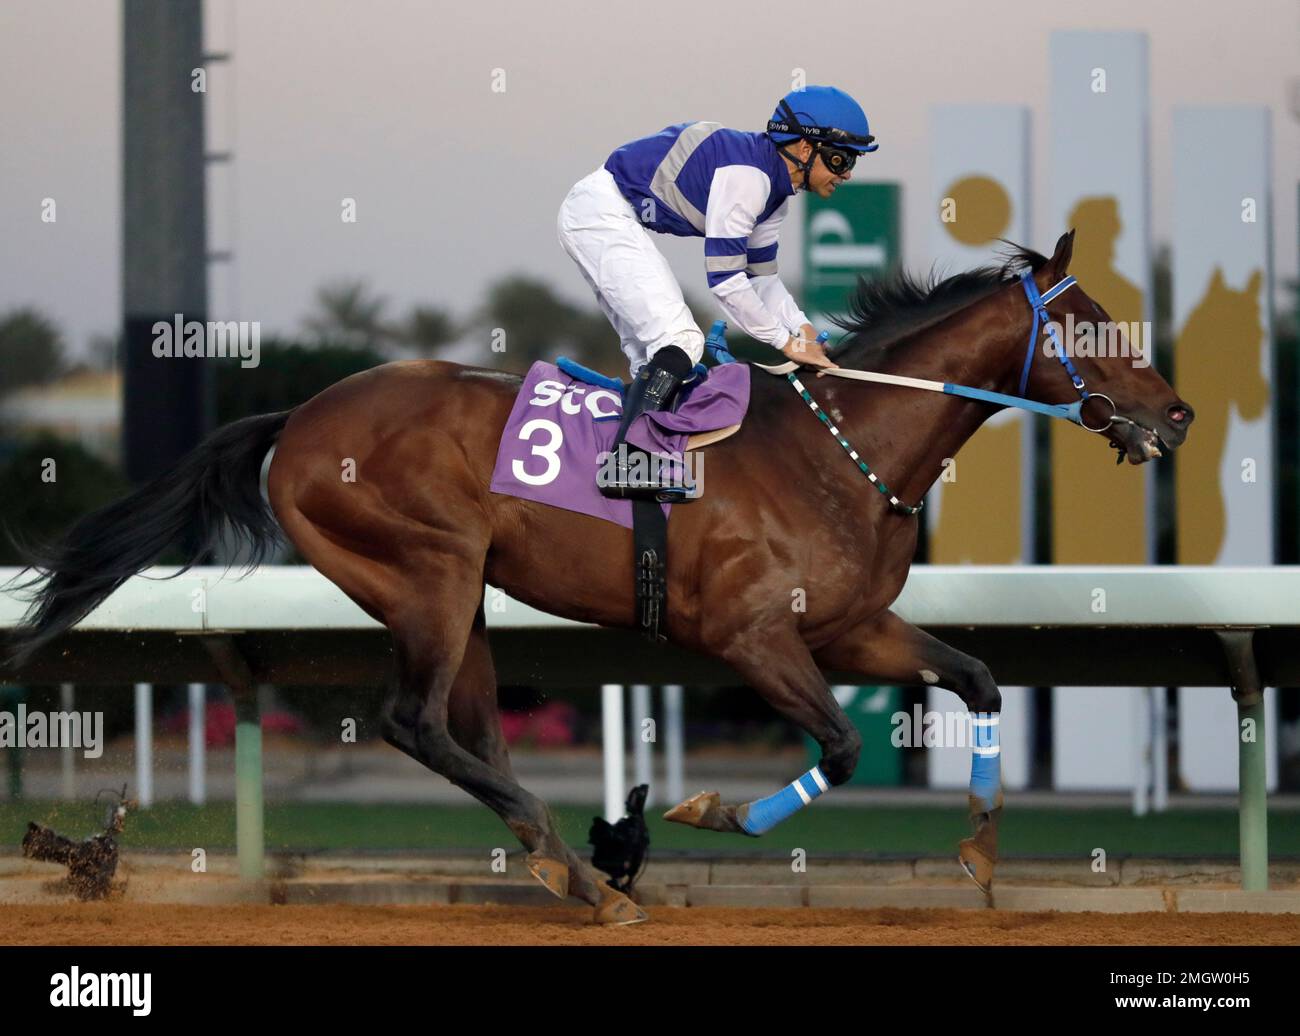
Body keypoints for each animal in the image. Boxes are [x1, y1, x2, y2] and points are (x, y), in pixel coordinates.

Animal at [4, 230, 1193, 925]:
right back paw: (588, 867)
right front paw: (706, 811)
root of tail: (296, 417)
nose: (1178, 415)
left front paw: (982, 854)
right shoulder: (751, 638)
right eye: (1092, 326)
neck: (839, 448)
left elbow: (979, 678)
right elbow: (846, 747)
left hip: (463, 597)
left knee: (470, 733)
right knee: (413, 723)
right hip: (429, 572)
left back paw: (574, 863)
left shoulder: (852, 627)